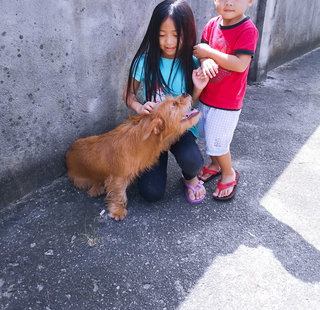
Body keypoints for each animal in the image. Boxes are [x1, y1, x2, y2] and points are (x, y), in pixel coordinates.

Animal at [66, 94, 200, 220]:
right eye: (173, 104)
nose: (186, 93)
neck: (146, 139)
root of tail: (68, 154)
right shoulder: (118, 178)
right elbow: (119, 195)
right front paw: (118, 211)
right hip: (81, 180)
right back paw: (96, 188)